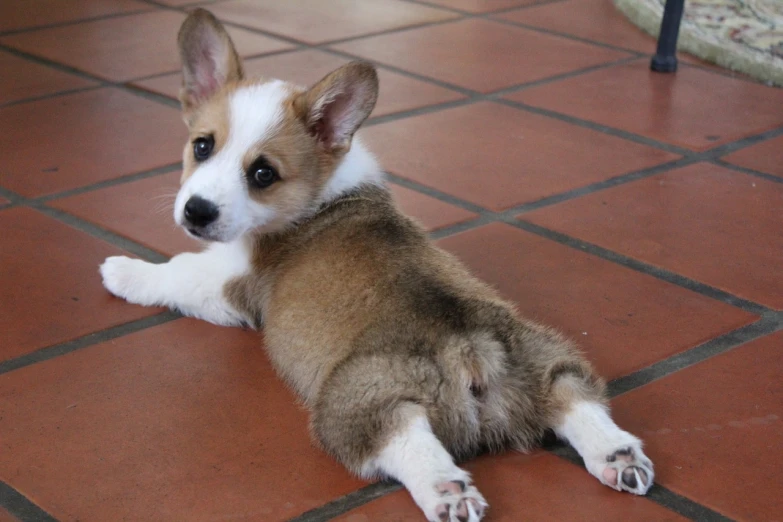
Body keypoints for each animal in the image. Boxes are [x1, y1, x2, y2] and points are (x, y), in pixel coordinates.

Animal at [102, 9, 656, 520]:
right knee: (575, 396)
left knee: (402, 439)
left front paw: (123, 271)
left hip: (356, 403)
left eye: (262, 174)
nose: (196, 211)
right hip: (549, 359)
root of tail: (468, 349)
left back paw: (447, 491)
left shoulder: (230, 285)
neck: (323, 189)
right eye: (202, 146)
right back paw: (618, 456)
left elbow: (177, 270)